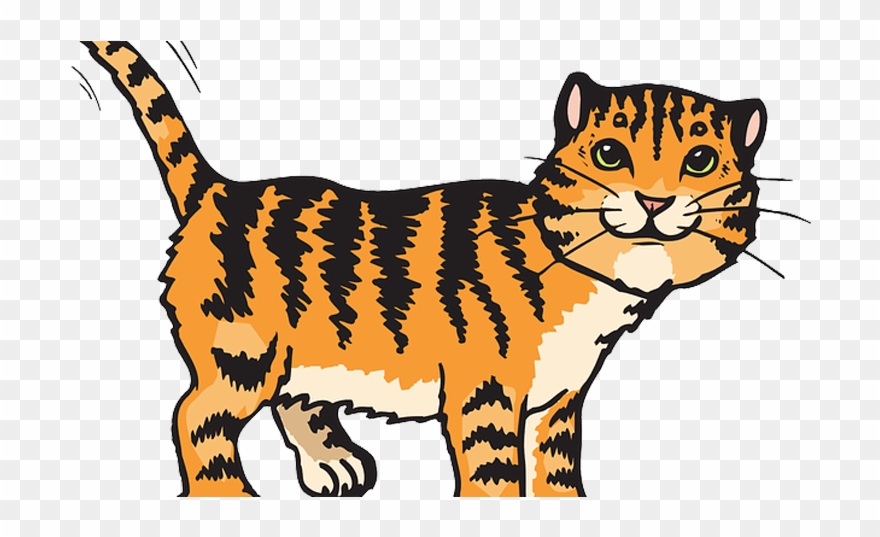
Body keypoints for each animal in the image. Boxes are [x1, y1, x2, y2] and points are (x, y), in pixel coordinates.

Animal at [82, 40, 768, 497]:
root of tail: (219, 189)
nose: (653, 201)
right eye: (609, 154)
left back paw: (334, 464)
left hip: (309, 352)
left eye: (700, 161)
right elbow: (495, 477)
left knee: (294, 401)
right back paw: (231, 498)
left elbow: (559, 471)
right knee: (197, 419)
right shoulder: (486, 394)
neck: (593, 290)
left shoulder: (562, 400)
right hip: (244, 351)